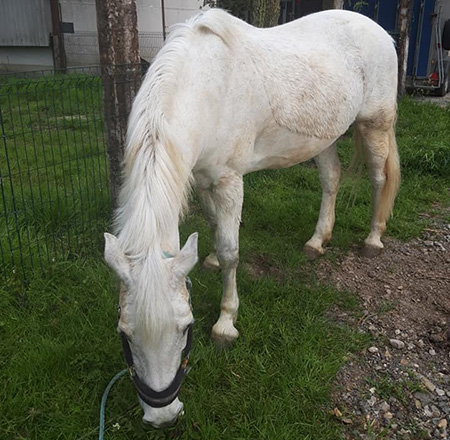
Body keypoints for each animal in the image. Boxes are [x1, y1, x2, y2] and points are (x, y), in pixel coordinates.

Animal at [103, 8, 400, 428]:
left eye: (186, 328)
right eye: (125, 333)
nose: (163, 415)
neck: (206, 88)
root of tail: (378, 30)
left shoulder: (229, 180)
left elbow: (231, 251)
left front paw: (226, 324)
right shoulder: (203, 177)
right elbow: (214, 229)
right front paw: (209, 260)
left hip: (375, 125)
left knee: (378, 179)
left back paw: (373, 238)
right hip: (322, 137)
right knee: (332, 178)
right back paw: (317, 241)